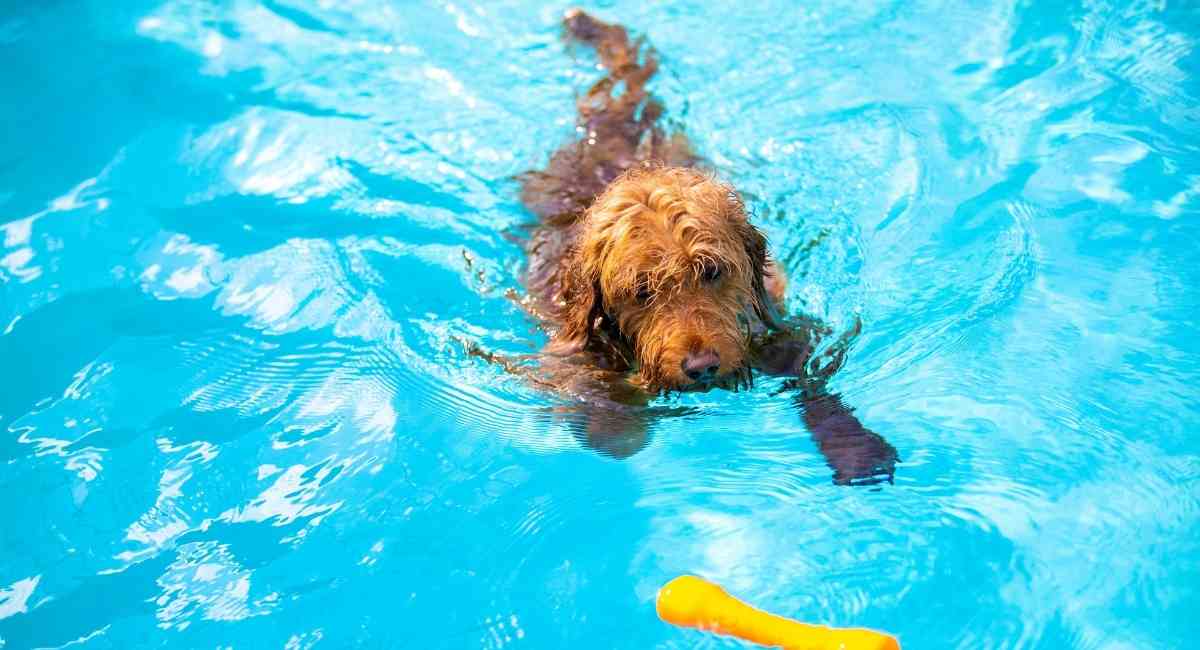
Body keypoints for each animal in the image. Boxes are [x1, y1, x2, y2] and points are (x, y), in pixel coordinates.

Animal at [506, 6, 892, 484]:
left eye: (711, 271)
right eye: (641, 291)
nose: (702, 367)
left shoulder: (776, 333)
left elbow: (810, 376)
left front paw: (852, 445)